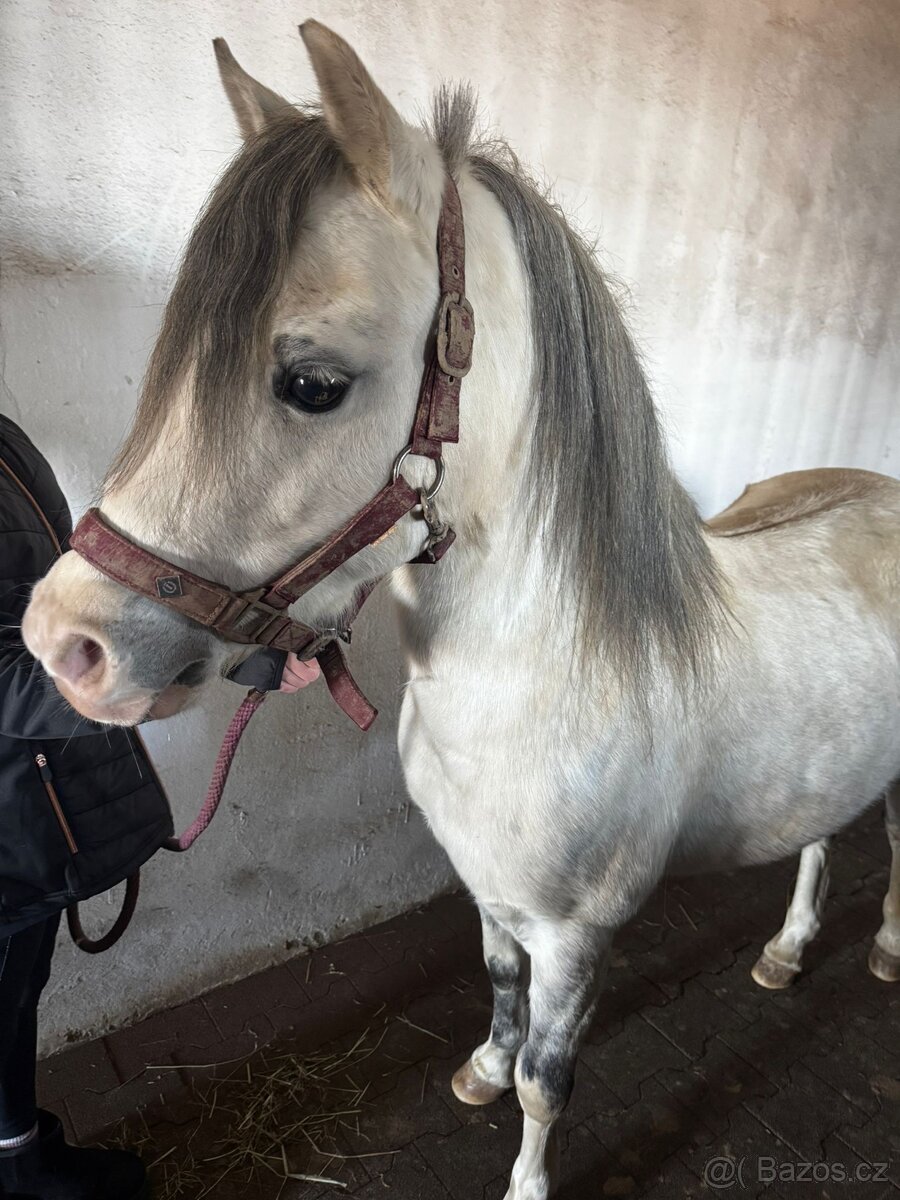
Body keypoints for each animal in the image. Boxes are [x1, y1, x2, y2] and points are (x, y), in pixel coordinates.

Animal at [22, 22, 900, 1200]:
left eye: (311, 384)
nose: (65, 644)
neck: (552, 682)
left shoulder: (577, 937)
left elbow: (548, 1081)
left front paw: (526, 1173)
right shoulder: (487, 892)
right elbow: (496, 986)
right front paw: (479, 1066)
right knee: (819, 838)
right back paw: (787, 949)